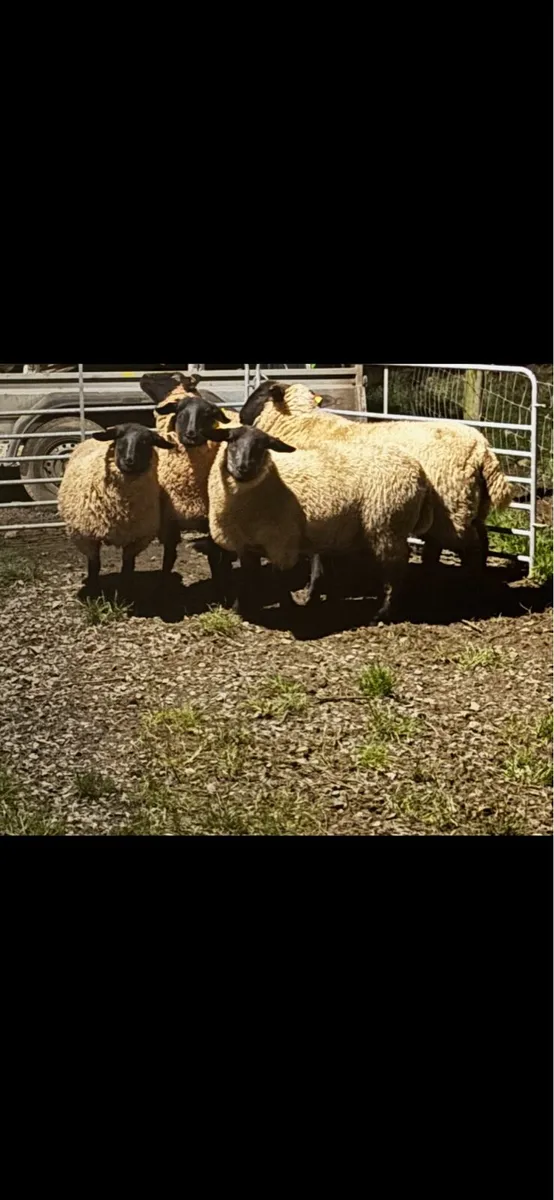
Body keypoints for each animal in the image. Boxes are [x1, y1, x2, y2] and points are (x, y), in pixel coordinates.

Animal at [58, 423, 175, 591]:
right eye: (119, 437)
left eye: (146, 441)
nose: (129, 460)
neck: (121, 508)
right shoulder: (86, 537)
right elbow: (94, 565)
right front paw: (93, 590)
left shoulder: (136, 539)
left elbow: (127, 567)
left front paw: (126, 588)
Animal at [205, 423, 433, 622]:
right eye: (231, 440)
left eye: (263, 446)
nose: (244, 468)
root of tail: (417, 467)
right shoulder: (244, 542)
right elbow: (247, 575)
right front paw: (239, 609)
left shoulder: (281, 541)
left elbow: (279, 579)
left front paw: (287, 609)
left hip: (388, 524)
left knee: (396, 569)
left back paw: (382, 613)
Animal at [240, 381, 514, 573]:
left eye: (261, 393)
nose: (241, 415)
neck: (301, 423)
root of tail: (483, 449)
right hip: (469, 507)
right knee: (475, 541)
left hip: (453, 507)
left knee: (468, 547)